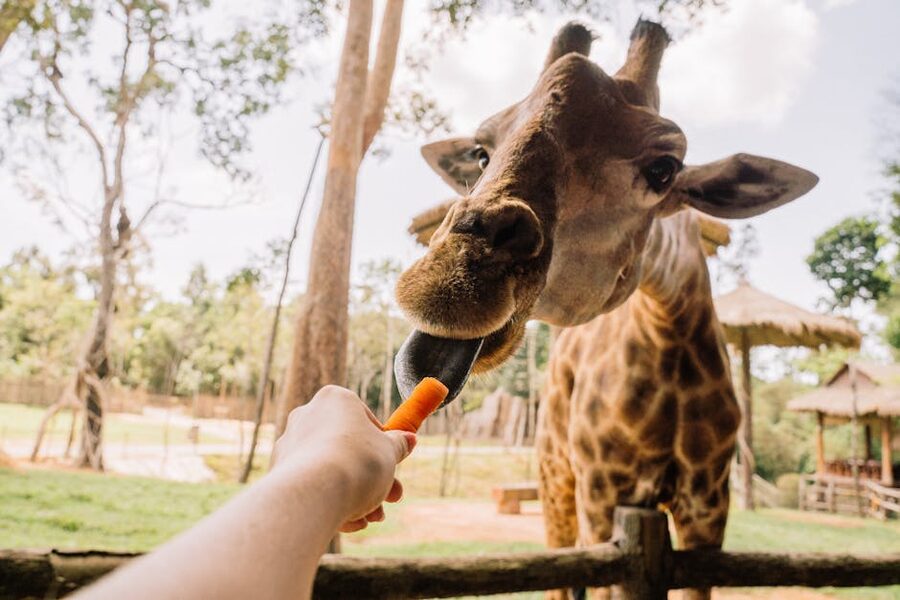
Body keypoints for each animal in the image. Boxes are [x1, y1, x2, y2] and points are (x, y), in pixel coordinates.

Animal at [393, 19, 818, 600]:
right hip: (555, 475)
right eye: (481, 153)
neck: (669, 334)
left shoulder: (708, 506)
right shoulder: (601, 491)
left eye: (664, 168)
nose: (448, 284)